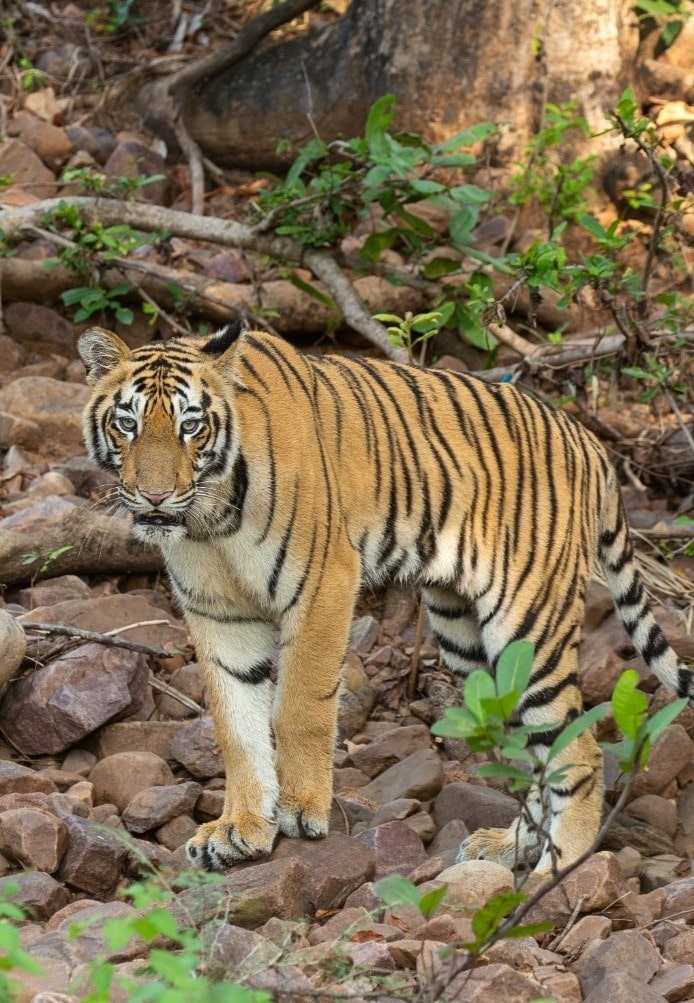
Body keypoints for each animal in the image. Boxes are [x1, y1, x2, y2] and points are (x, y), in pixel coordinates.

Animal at [78, 322, 694, 875]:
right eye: (128, 423)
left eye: (191, 426)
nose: (155, 496)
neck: (210, 520)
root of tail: (588, 440)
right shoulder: (218, 613)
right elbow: (238, 725)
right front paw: (242, 830)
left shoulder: (322, 584)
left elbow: (299, 706)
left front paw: (301, 811)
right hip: (468, 640)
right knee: (534, 749)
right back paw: (510, 849)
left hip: (528, 622)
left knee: (579, 748)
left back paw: (552, 874)